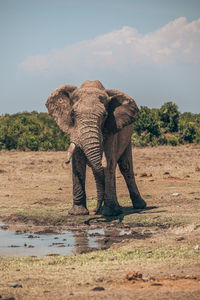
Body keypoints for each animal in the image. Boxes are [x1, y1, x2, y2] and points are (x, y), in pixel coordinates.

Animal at [46, 79, 146, 216]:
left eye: (105, 115)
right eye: (72, 113)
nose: (95, 211)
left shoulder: (112, 127)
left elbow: (109, 161)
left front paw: (110, 213)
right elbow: (78, 162)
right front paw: (78, 213)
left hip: (128, 137)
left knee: (125, 167)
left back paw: (138, 206)